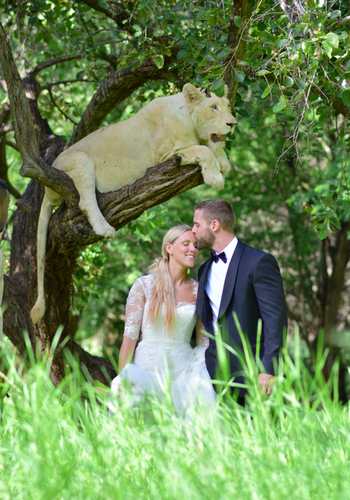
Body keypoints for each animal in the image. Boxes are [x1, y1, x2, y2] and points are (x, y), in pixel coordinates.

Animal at [31, 83, 235, 322]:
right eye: (213, 107)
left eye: (227, 107)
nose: (232, 123)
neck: (188, 118)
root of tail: (47, 188)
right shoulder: (169, 156)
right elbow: (204, 150)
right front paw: (215, 177)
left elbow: (213, 148)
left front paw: (223, 162)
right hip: (80, 161)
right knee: (85, 202)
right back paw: (104, 228)